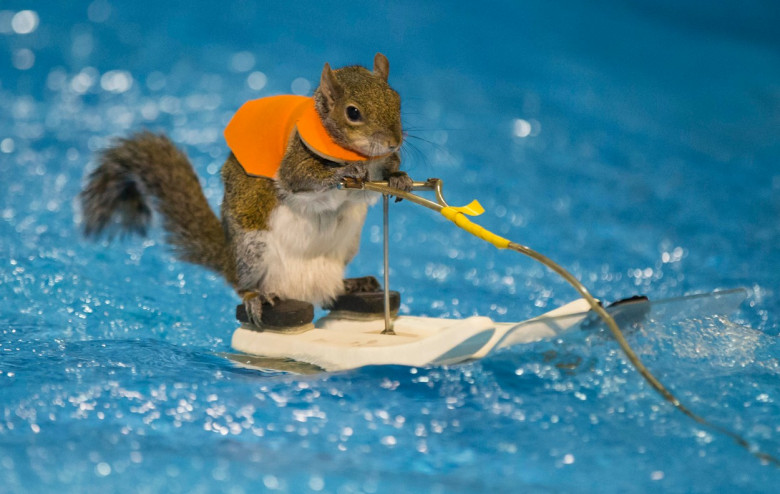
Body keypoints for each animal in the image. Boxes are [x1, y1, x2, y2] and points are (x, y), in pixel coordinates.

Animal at [80, 52, 414, 328]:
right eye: (352, 112)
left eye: (397, 100)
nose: (394, 143)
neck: (364, 156)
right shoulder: (294, 163)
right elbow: (302, 179)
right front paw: (345, 171)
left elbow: (370, 189)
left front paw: (400, 178)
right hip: (253, 249)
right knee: (241, 285)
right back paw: (255, 297)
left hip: (346, 247)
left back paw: (355, 284)